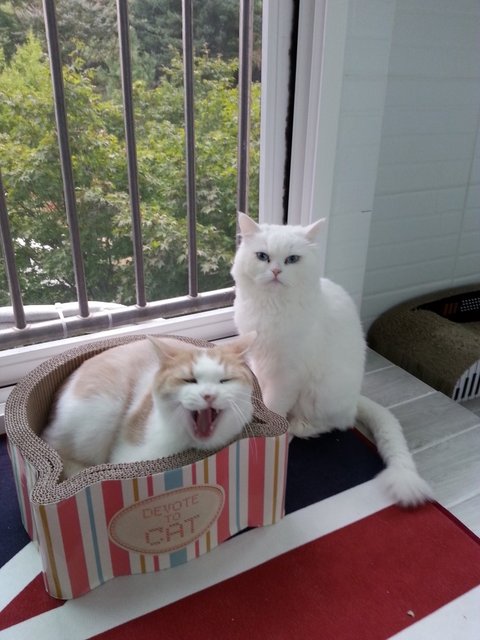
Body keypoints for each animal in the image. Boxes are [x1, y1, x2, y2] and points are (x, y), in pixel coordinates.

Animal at [231, 212, 433, 507]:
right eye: (263, 256)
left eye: (292, 259)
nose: (277, 271)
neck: (271, 308)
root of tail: (355, 398)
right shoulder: (259, 362)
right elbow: (260, 397)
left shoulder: (286, 374)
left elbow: (274, 406)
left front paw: (272, 435)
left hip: (320, 394)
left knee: (334, 424)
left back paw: (296, 429)